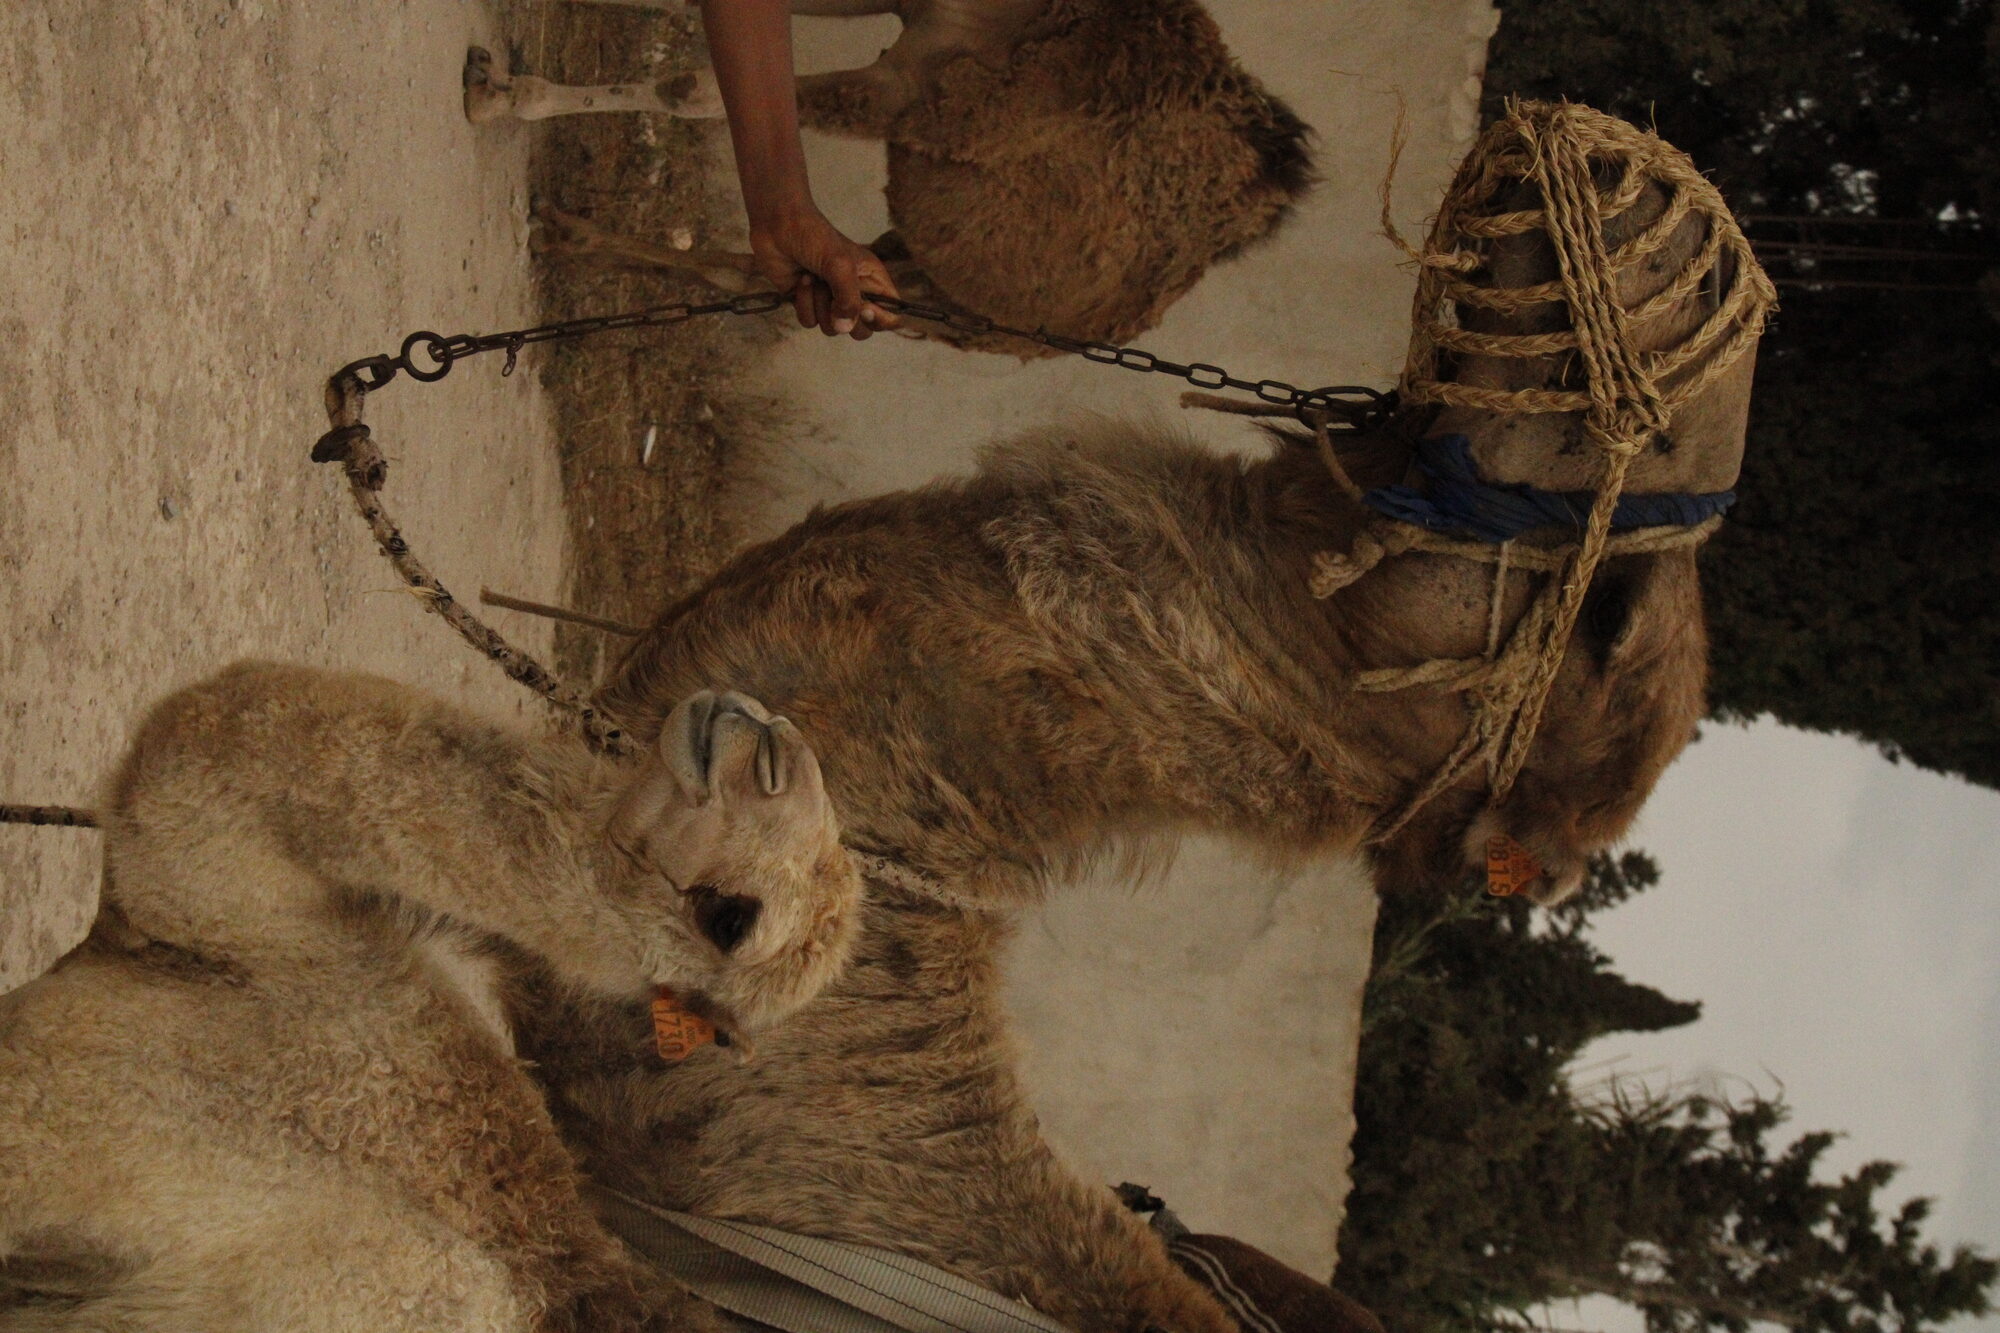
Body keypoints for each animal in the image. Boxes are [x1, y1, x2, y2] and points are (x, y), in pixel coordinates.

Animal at [463, 0, 1316, 353]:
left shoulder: (914, 97)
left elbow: (693, 88)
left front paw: (501, 95)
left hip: (958, 313)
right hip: (920, 264)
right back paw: (573, 241)